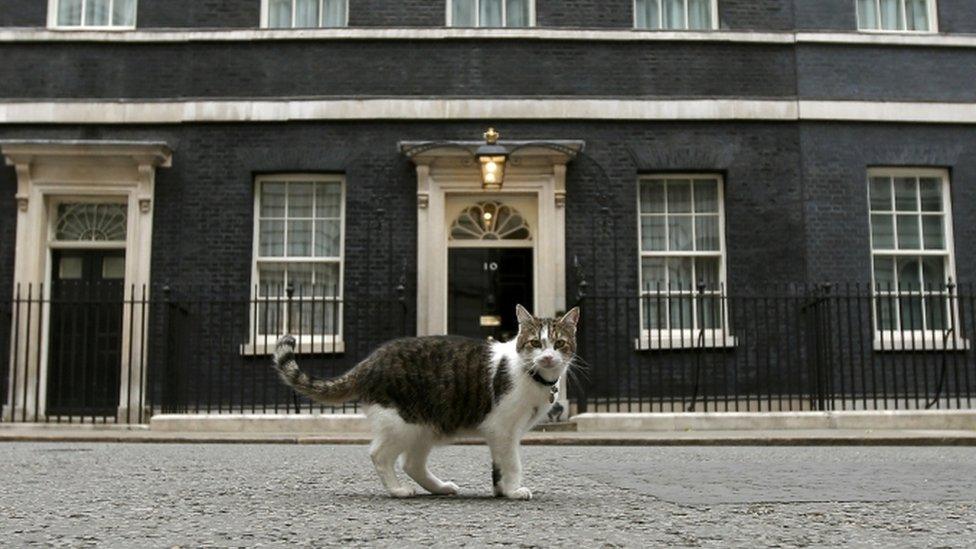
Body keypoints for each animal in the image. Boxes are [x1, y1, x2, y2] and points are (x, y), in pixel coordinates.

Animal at [272, 302, 580, 498]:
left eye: (559, 344)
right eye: (535, 343)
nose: (548, 357)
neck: (533, 375)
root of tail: (371, 361)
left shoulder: (502, 434)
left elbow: (500, 464)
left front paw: (502, 490)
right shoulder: (502, 428)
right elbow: (512, 462)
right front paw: (515, 490)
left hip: (426, 426)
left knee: (412, 463)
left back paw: (439, 488)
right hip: (403, 422)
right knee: (380, 455)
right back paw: (397, 490)